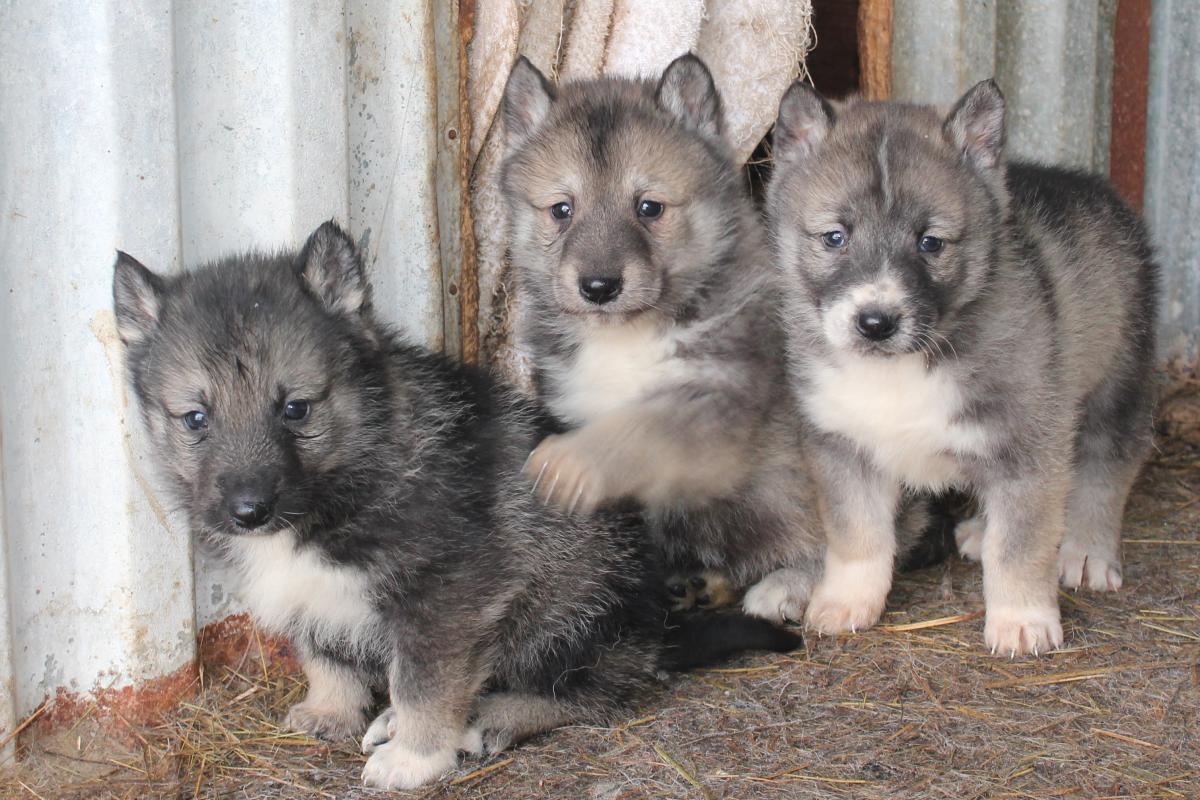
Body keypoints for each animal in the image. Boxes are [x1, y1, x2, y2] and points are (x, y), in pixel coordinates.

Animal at [110, 221, 796, 791]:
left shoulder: (447, 597)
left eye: (296, 409)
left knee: (596, 691)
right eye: (195, 419)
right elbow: (325, 652)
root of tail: (655, 629)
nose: (248, 512)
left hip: (570, 610)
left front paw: (415, 757)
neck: (349, 474)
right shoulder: (314, 595)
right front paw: (330, 710)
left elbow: (424, 682)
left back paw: (490, 717)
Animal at [501, 54, 830, 618]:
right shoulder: (574, 399)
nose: (599, 287)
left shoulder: (717, 394)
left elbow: (640, 427)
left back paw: (790, 585)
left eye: (649, 207)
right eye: (562, 209)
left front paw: (573, 461)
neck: (627, 336)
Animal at [763, 79, 1156, 657]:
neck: (902, 369)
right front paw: (845, 601)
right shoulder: (840, 445)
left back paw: (1086, 549)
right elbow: (857, 534)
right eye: (835, 237)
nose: (875, 322)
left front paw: (1021, 621)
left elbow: (1021, 544)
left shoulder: (1028, 441)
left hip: (1118, 373)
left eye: (931, 243)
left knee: (1108, 463)